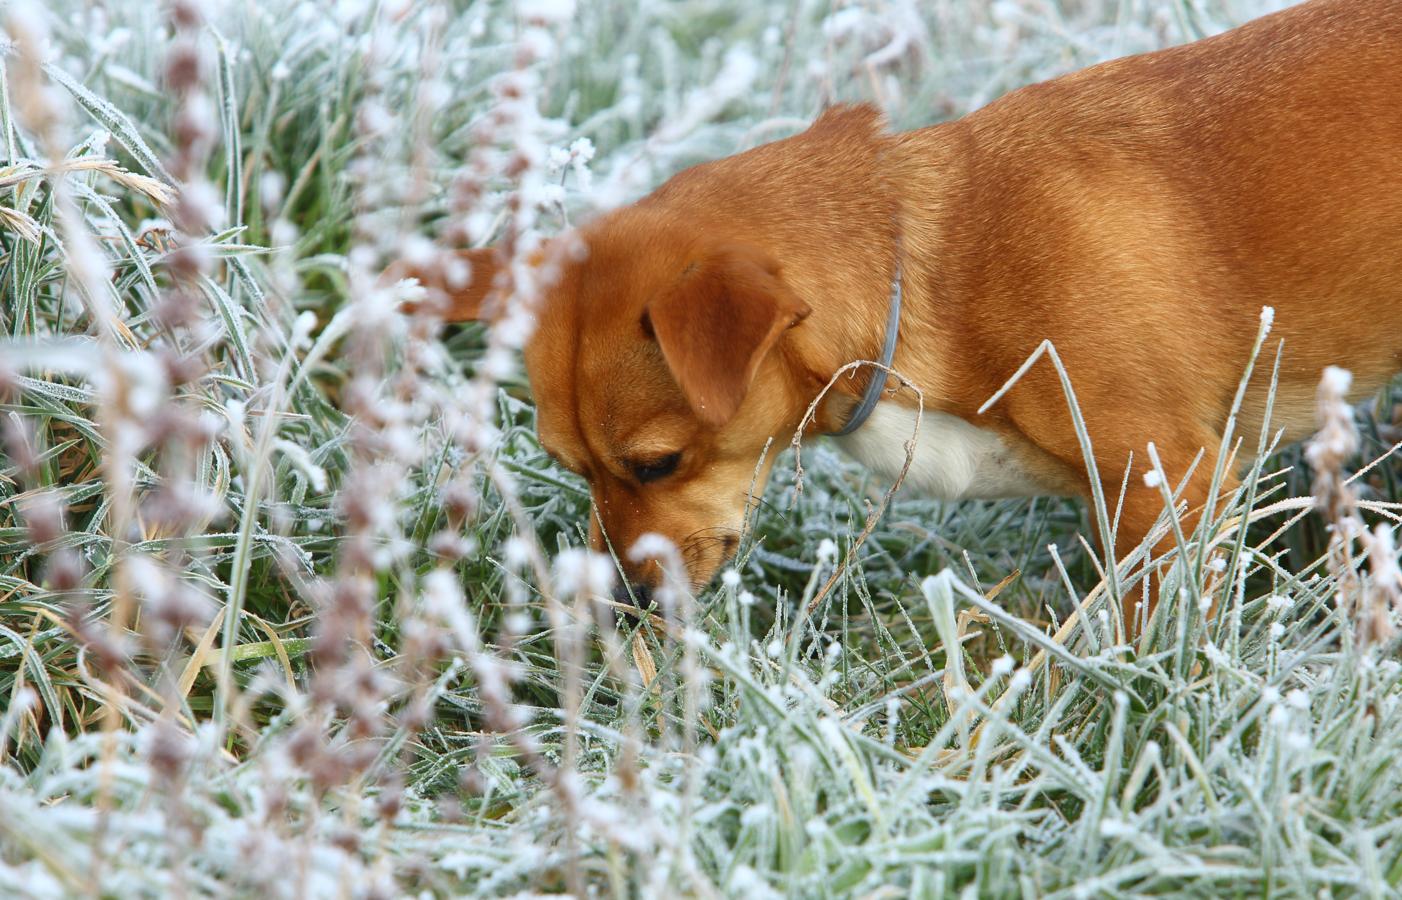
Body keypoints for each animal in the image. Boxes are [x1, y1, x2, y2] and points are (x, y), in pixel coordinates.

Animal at [417, 0, 1402, 622]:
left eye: (657, 464)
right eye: (568, 467)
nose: (620, 604)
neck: (926, 266)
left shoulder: (1173, 487)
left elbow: (1139, 638)